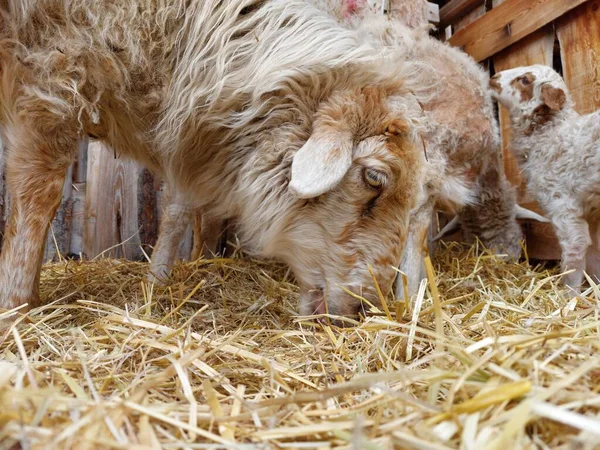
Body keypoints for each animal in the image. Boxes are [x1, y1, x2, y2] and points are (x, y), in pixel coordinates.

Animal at [1, 0, 432, 318]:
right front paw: (16, 305)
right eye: (374, 178)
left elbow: (177, 209)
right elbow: (37, 198)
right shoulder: (51, 73)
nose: (366, 308)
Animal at [488, 65, 600, 290]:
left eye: (525, 80)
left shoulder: (563, 205)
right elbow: (594, 255)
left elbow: (574, 256)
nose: (493, 78)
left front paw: (569, 294)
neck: (549, 134)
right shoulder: (590, 212)